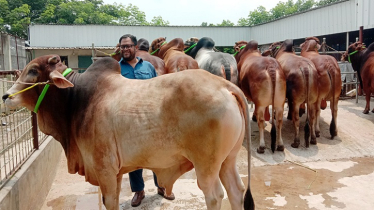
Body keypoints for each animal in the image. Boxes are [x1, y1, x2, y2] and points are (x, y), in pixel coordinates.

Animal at [2, 54, 254, 210]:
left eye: (33, 70)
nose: (6, 96)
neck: (78, 99)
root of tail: (226, 86)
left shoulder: (104, 168)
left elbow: (110, 201)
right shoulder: (115, 171)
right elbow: (112, 200)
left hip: (206, 165)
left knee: (215, 196)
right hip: (227, 160)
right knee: (236, 191)